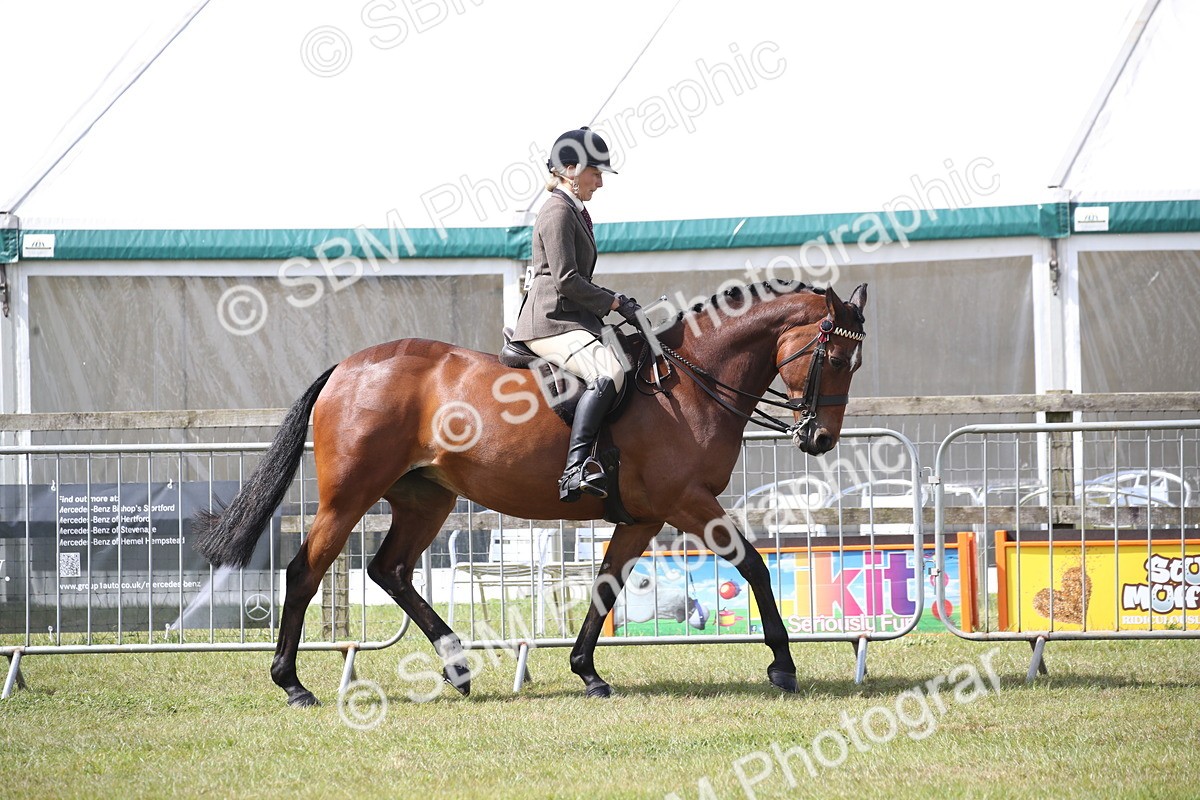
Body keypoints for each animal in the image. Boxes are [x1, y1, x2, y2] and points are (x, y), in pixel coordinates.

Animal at [194, 280, 868, 706]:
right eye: (836, 358)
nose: (820, 439)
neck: (690, 382)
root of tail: (347, 366)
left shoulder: (644, 518)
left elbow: (605, 586)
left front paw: (586, 672)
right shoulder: (688, 502)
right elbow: (754, 564)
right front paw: (783, 666)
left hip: (425, 497)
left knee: (390, 570)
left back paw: (457, 664)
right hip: (349, 497)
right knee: (305, 572)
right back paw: (293, 684)